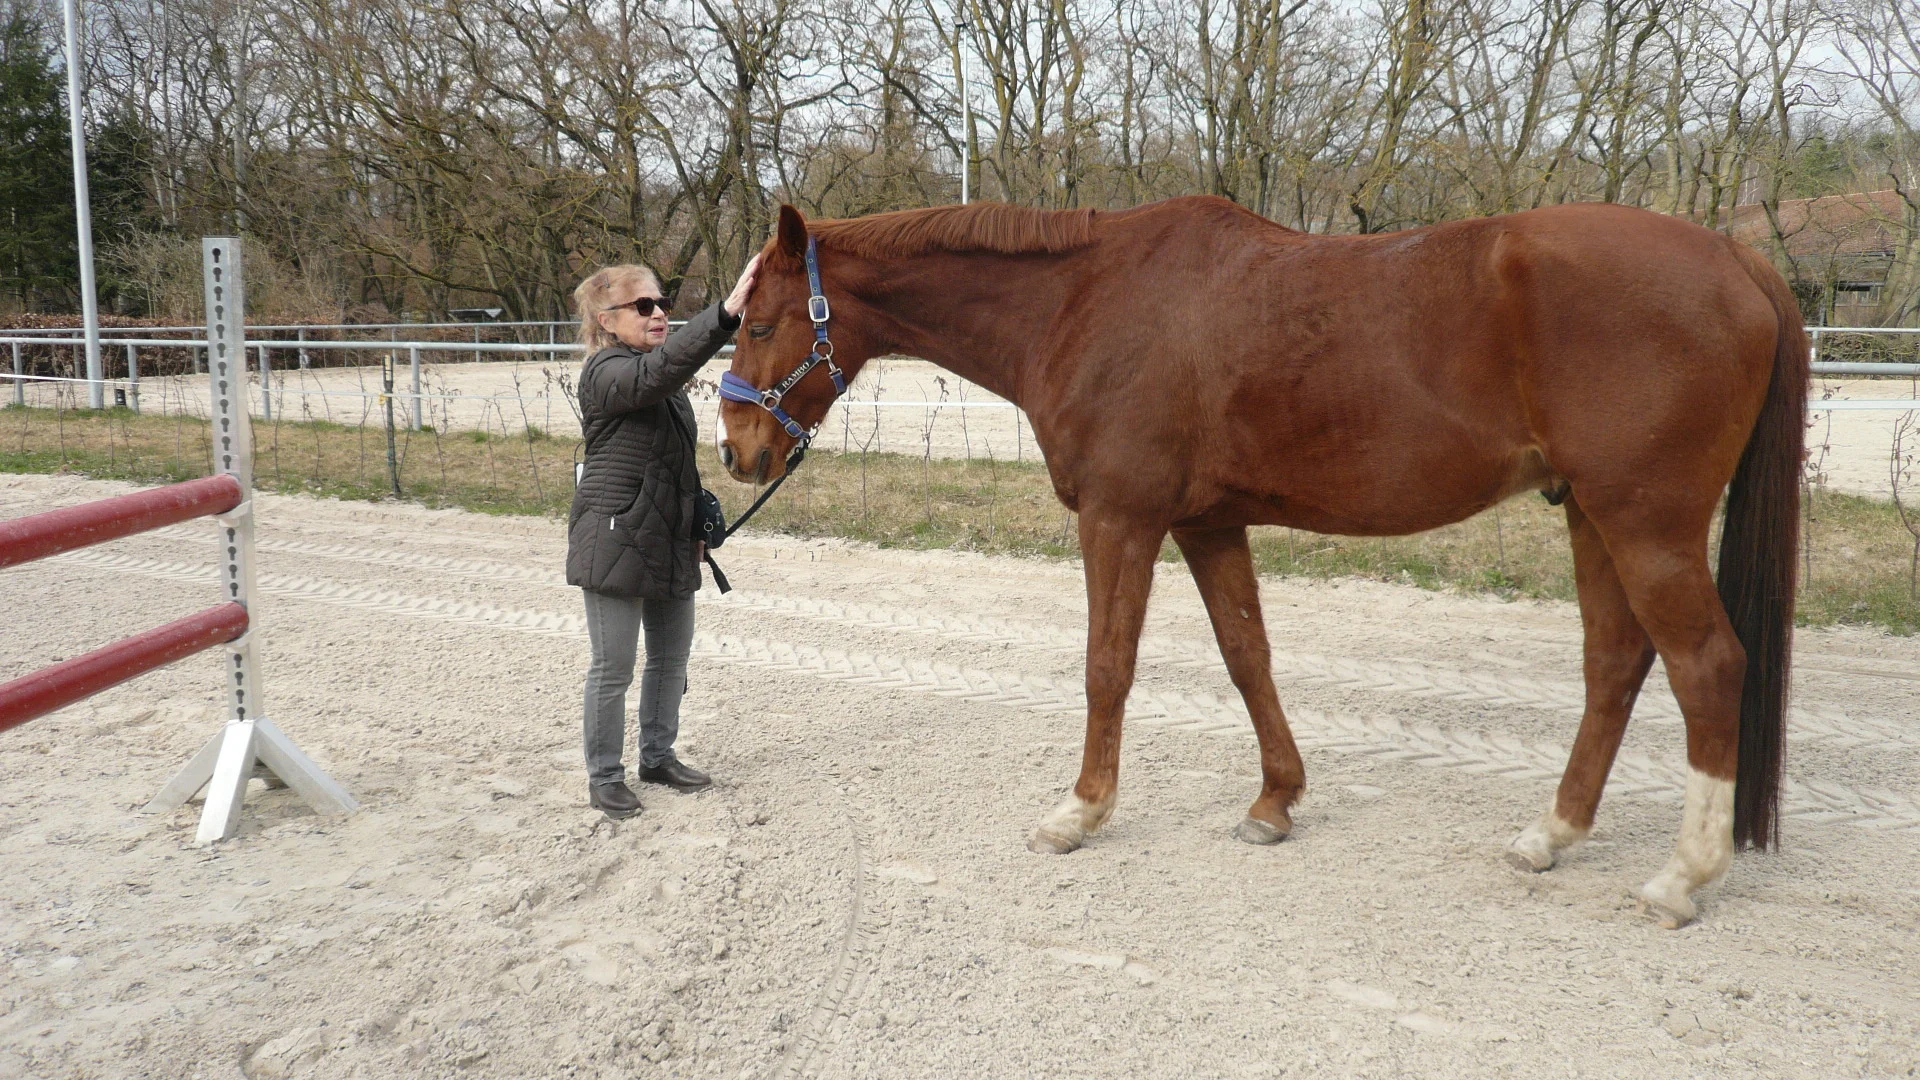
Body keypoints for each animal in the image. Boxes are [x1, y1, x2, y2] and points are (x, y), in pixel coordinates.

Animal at [716, 196, 1806, 929]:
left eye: (763, 321)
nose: (735, 451)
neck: (1085, 300)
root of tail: (1738, 260)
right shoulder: (1207, 526)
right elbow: (1249, 659)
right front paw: (1275, 802)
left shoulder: (1121, 518)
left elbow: (1107, 666)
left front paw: (1080, 812)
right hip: (1590, 513)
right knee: (1615, 664)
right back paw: (1552, 834)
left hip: (1646, 520)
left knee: (1708, 667)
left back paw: (1681, 878)